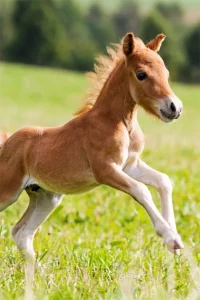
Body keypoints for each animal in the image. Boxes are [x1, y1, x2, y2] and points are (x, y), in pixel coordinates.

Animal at [0, 32, 184, 286]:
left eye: (165, 73)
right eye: (141, 74)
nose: (174, 108)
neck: (119, 121)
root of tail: (6, 144)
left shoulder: (130, 165)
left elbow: (163, 181)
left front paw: (174, 238)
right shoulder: (105, 170)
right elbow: (142, 190)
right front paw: (170, 238)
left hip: (46, 197)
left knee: (21, 232)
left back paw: (38, 278)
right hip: (8, 192)